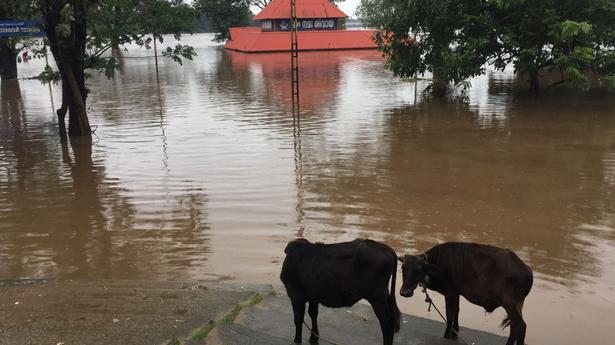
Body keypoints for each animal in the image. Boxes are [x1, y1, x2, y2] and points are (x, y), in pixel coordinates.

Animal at [400, 242, 536, 344]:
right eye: (403, 268)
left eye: (419, 269)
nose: (404, 292)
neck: (438, 263)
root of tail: (527, 270)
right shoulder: (456, 294)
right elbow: (456, 312)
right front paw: (455, 333)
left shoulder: (450, 293)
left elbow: (449, 315)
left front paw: (447, 335)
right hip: (516, 305)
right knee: (514, 327)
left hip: (510, 303)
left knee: (520, 327)